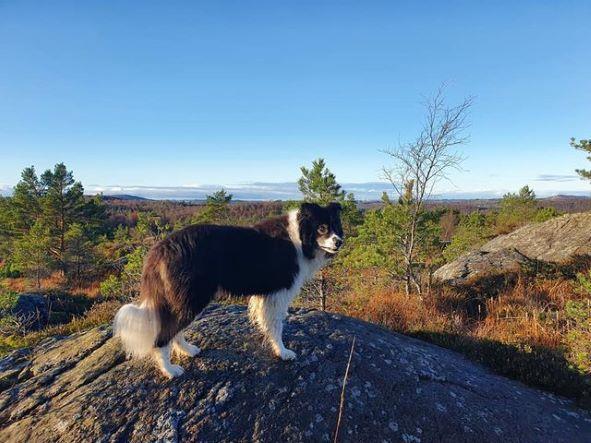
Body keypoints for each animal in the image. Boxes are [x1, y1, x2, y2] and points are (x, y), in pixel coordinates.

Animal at [113, 202, 344, 378]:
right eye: (322, 227)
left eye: (336, 226)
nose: (339, 242)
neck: (300, 238)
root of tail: (160, 249)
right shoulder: (278, 293)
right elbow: (277, 326)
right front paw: (283, 352)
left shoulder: (266, 295)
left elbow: (265, 322)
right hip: (193, 296)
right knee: (164, 335)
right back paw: (170, 370)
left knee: (174, 330)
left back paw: (189, 350)